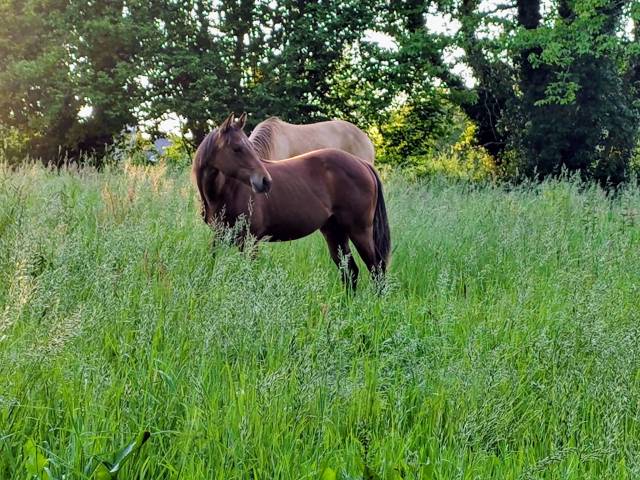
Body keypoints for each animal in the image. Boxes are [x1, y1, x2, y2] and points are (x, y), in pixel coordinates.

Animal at [193, 113, 390, 290]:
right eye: (236, 148)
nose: (265, 181)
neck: (228, 190)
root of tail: (363, 164)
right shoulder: (219, 236)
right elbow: (213, 263)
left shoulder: (250, 241)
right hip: (335, 233)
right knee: (350, 272)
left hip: (360, 232)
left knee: (376, 270)